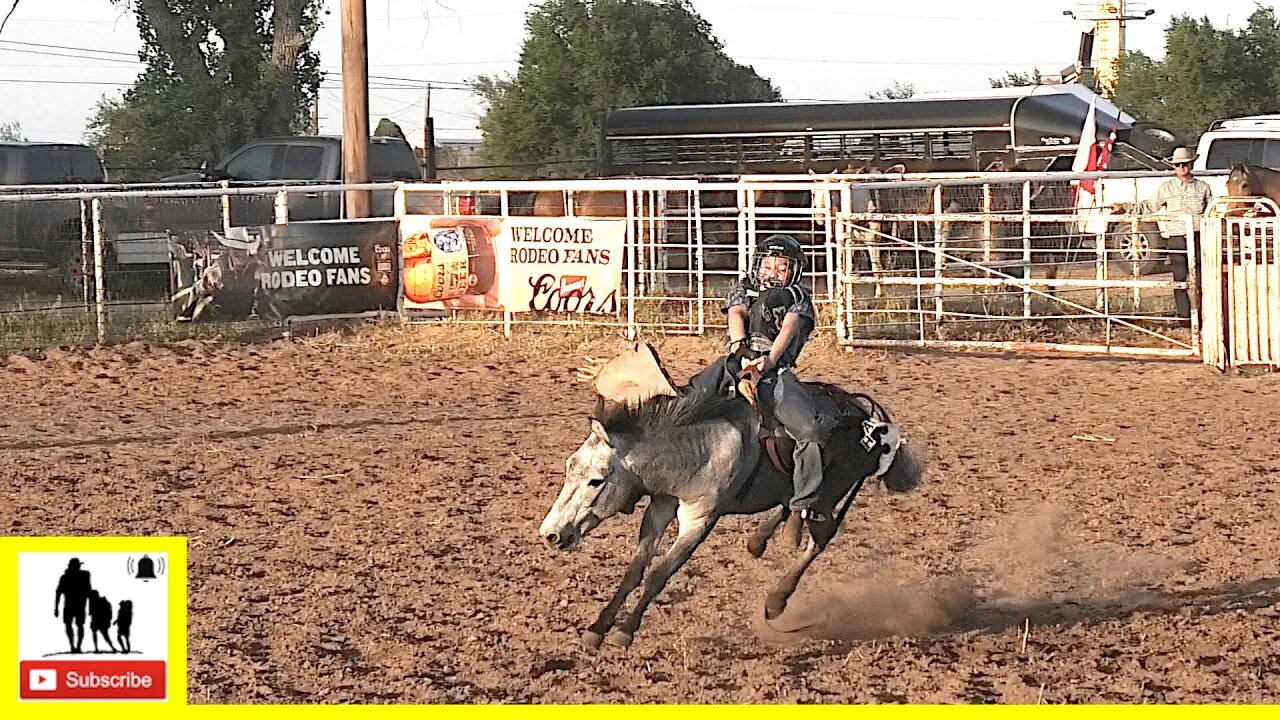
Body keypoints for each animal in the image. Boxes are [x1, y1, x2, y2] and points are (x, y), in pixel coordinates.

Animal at [537, 338, 921, 648]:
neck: (697, 445)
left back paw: (777, 599)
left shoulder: (700, 519)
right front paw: (596, 629)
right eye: (569, 467)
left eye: (596, 480)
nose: (550, 534)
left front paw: (624, 632)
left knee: (820, 536)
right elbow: (636, 569)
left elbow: (661, 573)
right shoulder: (661, 505)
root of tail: (863, 413)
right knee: (791, 505)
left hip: (834, 491)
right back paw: (762, 539)